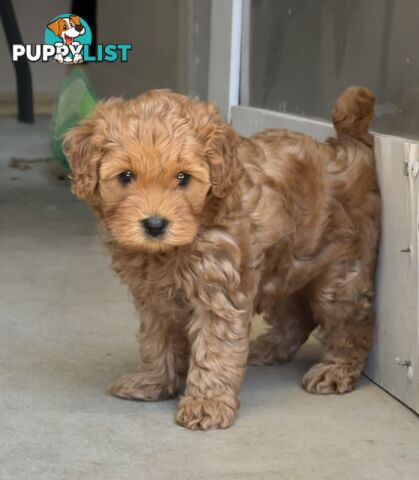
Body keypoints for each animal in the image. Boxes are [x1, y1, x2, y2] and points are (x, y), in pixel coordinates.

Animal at [64, 86, 382, 432]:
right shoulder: (154, 298)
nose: (154, 225)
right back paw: (268, 348)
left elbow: (214, 350)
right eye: (126, 176)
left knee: (351, 324)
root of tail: (346, 148)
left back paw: (335, 370)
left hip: (340, 273)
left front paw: (207, 404)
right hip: (282, 266)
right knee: (297, 315)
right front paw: (153, 381)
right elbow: (156, 340)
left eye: (183, 178)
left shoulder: (220, 291)